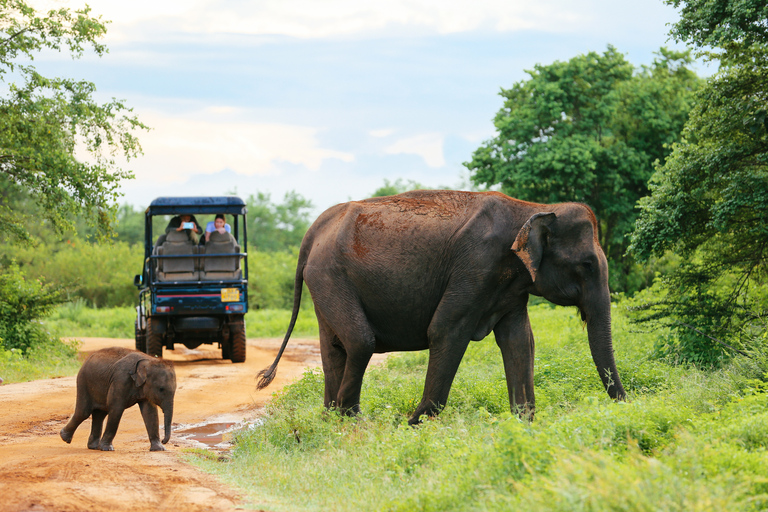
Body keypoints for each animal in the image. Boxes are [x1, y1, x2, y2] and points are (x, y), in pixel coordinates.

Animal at [258, 189, 624, 424]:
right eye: (588, 265)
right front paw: (414, 424)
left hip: (324, 280)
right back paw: (351, 420)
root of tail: (313, 229)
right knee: (360, 342)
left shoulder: (510, 283)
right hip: (330, 276)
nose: (625, 404)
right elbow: (446, 330)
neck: (533, 207)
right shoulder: (476, 265)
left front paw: (523, 424)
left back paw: (330, 419)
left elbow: (519, 340)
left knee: (335, 347)